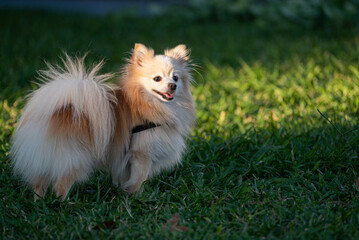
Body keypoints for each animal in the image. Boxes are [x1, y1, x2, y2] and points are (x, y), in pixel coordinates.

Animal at [10, 43, 197, 201]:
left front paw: (124, 193)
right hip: (75, 158)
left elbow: (125, 178)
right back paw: (64, 204)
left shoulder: (125, 157)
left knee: (39, 182)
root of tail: (63, 108)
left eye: (176, 78)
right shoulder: (142, 154)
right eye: (157, 78)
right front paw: (137, 197)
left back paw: (38, 201)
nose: (172, 85)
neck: (150, 104)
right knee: (60, 186)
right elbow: (139, 179)